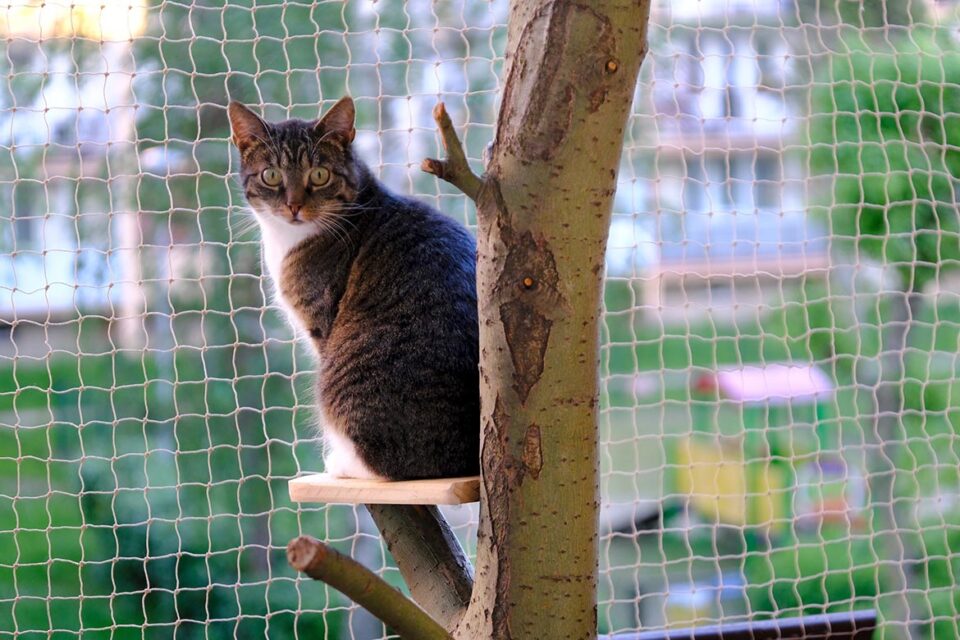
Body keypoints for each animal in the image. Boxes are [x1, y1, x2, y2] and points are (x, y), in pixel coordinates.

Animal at [226, 97, 480, 480]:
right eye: (271, 175)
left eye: (319, 175)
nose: (294, 205)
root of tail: (467, 461)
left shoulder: (321, 325)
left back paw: (341, 464)